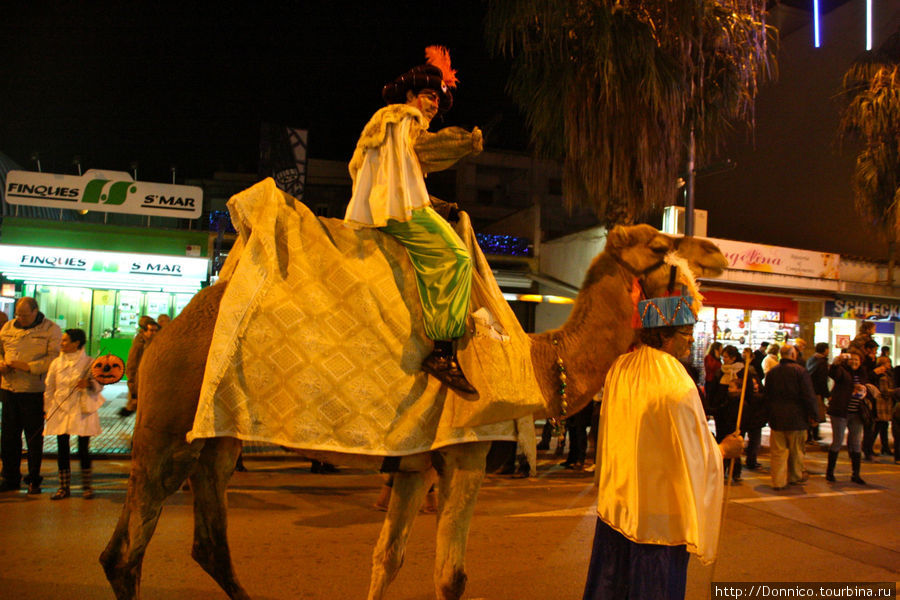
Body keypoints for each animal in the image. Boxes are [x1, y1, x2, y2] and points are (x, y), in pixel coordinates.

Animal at [102, 221, 728, 600]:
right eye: (659, 247)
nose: (716, 252)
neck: (529, 362)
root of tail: (161, 335)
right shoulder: (467, 454)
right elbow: (451, 576)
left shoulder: (412, 462)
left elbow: (389, 557)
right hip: (169, 431)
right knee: (127, 556)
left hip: (213, 440)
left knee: (193, 543)